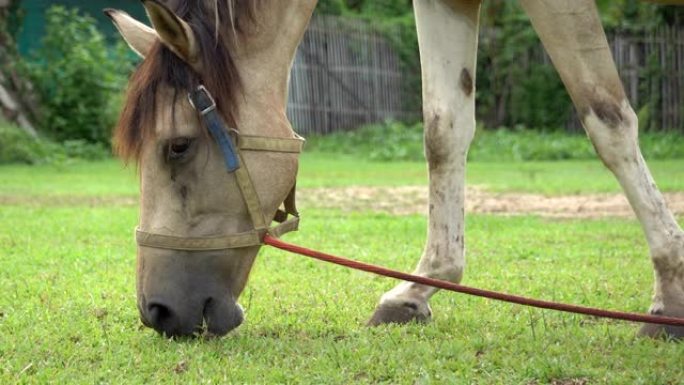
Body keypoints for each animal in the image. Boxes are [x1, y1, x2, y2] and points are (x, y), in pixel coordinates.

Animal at [104, 0, 680, 336]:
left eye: (178, 147)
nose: (157, 312)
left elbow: (607, 119)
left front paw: (670, 293)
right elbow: (444, 131)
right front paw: (417, 289)